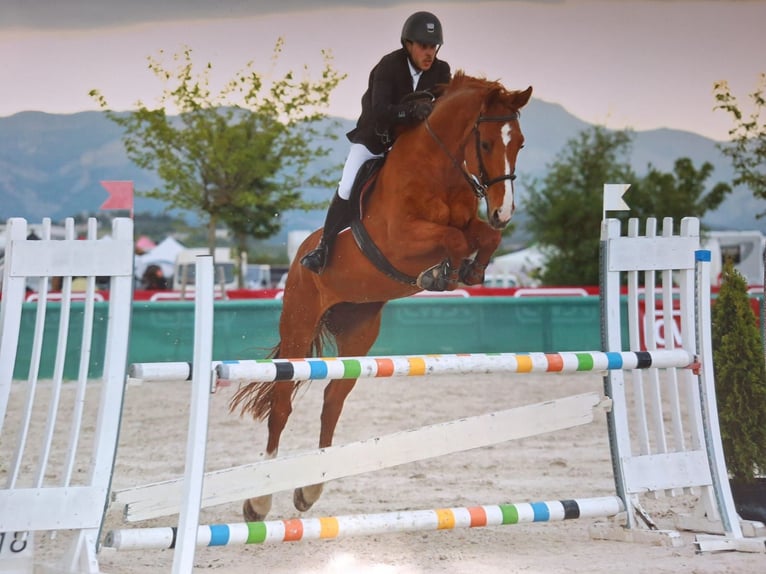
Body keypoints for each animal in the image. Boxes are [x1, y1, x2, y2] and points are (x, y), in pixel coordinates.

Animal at [232, 72, 536, 520]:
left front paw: (469, 270)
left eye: (520, 144)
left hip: (359, 330)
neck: (439, 167)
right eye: (484, 144)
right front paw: (442, 272)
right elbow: (454, 238)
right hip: (299, 320)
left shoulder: (468, 225)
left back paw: (310, 491)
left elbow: (481, 237)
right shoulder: (401, 240)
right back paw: (259, 499)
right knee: (283, 403)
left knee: (332, 401)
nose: (504, 212)